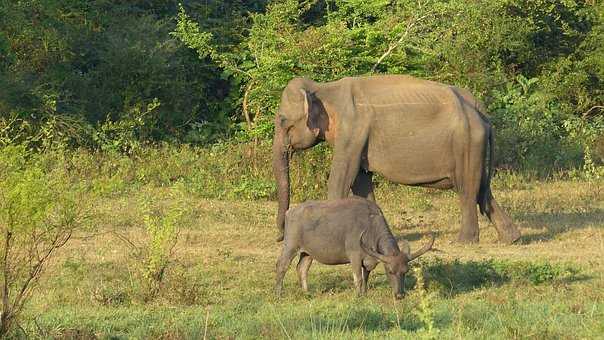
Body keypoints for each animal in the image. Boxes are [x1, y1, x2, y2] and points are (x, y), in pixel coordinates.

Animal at [272, 75, 520, 244]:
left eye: (283, 120)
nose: (280, 236)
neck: (323, 88)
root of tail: (481, 111)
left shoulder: (352, 132)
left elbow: (340, 181)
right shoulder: (358, 140)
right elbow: (361, 182)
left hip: (467, 143)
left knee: (468, 189)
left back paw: (464, 241)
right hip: (474, 146)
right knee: (482, 190)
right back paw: (512, 238)